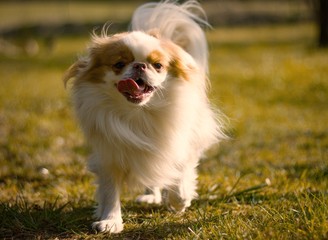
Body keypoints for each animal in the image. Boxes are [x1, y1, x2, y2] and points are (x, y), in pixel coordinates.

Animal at [63, 0, 226, 232]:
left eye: (158, 66)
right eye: (119, 64)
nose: (140, 65)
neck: (139, 113)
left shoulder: (183, 142)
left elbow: (180, 170)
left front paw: (179, 200)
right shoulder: (109, 155)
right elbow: (110, 191)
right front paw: (111, 221)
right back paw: (150, 195)